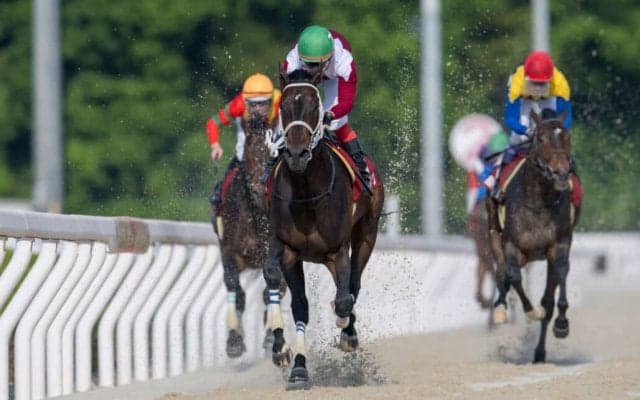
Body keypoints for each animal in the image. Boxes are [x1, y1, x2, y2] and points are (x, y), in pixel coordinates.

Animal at [211, 115, 281, 358]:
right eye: (251, 151)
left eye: (275, 154)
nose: (261, 187)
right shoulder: (228, 250)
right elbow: (235, 287)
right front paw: (233, 340)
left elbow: (271, 288)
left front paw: (271, 336)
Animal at [262, 67, 384, 389]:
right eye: (284, 106)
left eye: (314, 107)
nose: (296, 154)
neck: (306, 189)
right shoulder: (287, 248)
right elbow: (291, 297)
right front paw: (293, 362)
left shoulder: (337, 250)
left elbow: (343, 299)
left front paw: (344, 327)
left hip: (367, 234)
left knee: (353, 284)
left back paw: (348, 333)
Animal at [486, 109, 581, 363]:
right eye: (540, 138)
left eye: (567, 137)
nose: (560, 173)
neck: (538, 200)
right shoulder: (512, 244)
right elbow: (514, 277)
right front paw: (531, 312)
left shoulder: (559, 244)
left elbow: (560, 274)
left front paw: (561, 324)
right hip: (495, 234)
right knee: (503, 273)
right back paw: (500, 309)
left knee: (547, 296)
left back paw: (539, 352)